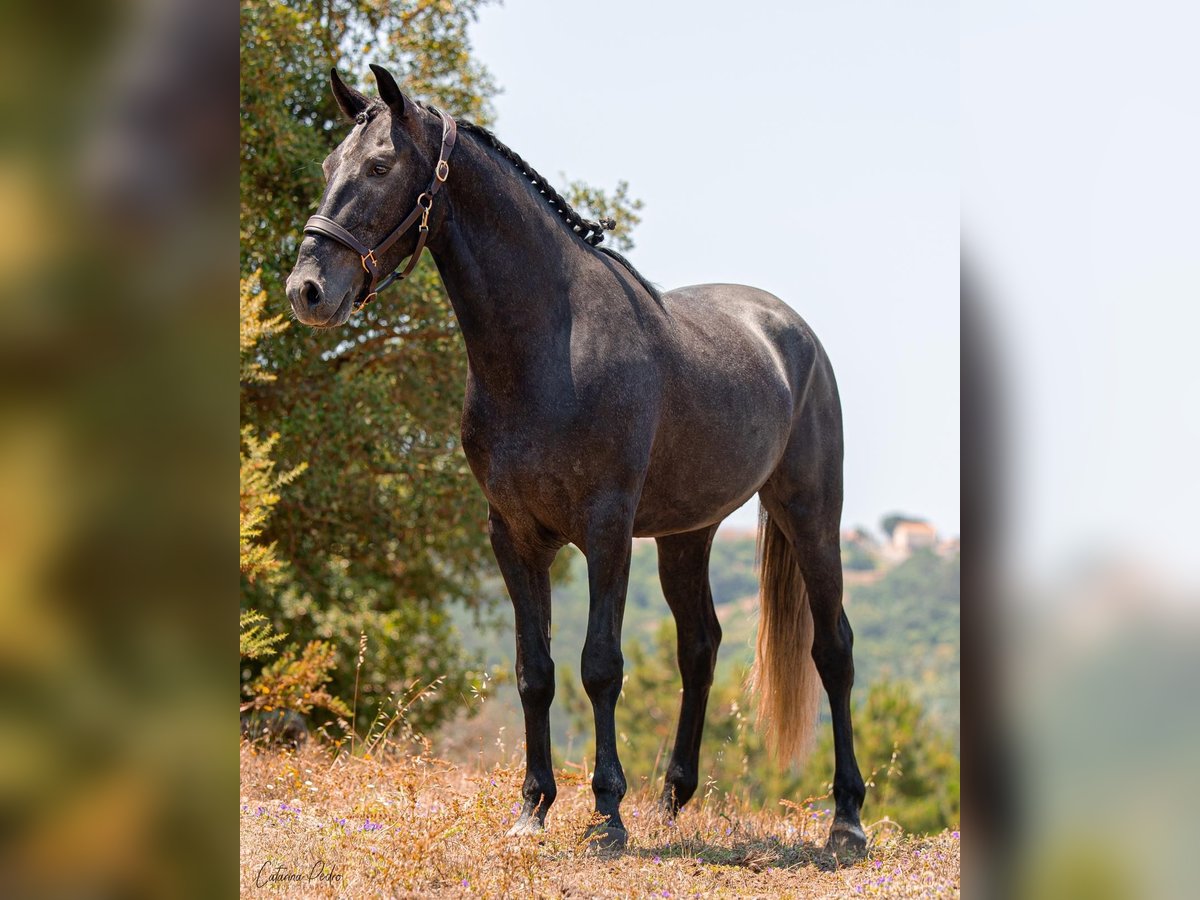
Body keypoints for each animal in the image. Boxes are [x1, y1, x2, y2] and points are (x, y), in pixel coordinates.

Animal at [285, 65, 868, 859]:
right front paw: (532, 808)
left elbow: (600, 666)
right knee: (700, 647)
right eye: (326, 167)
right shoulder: (513, 534)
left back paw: (847, 822)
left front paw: (606, 817)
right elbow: (535, 671)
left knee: (832, 650)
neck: (549, 344)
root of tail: (790, 330)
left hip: (810, 511)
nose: (307, 291)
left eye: (378, 167)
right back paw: (672, 804)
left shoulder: (606, 530)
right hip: (687, 534)